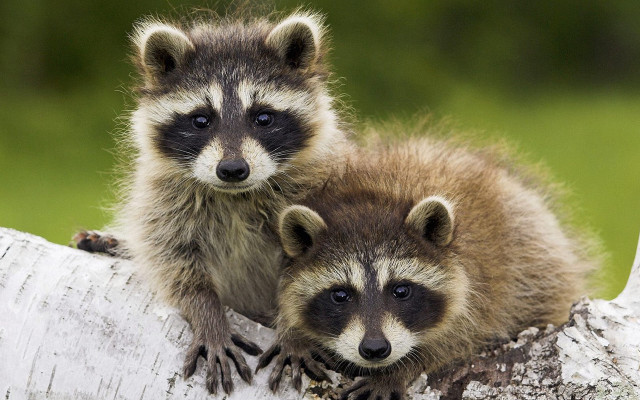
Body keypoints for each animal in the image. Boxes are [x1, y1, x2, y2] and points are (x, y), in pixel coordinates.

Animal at [75, 11, 351, 395]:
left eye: (263, 117)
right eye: (201, 120)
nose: (232, 169)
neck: (235, 195)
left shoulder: (321, 189)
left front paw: (294, 332)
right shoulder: (163, 198)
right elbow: (174, 261)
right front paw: (208, 315)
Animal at [257, 137, 596, 399]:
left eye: (401, 290)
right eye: (340, 295)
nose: (375, 349)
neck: (373, 198)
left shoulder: (482, 284)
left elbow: (458, 338)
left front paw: (401, 368)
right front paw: (293, 333)